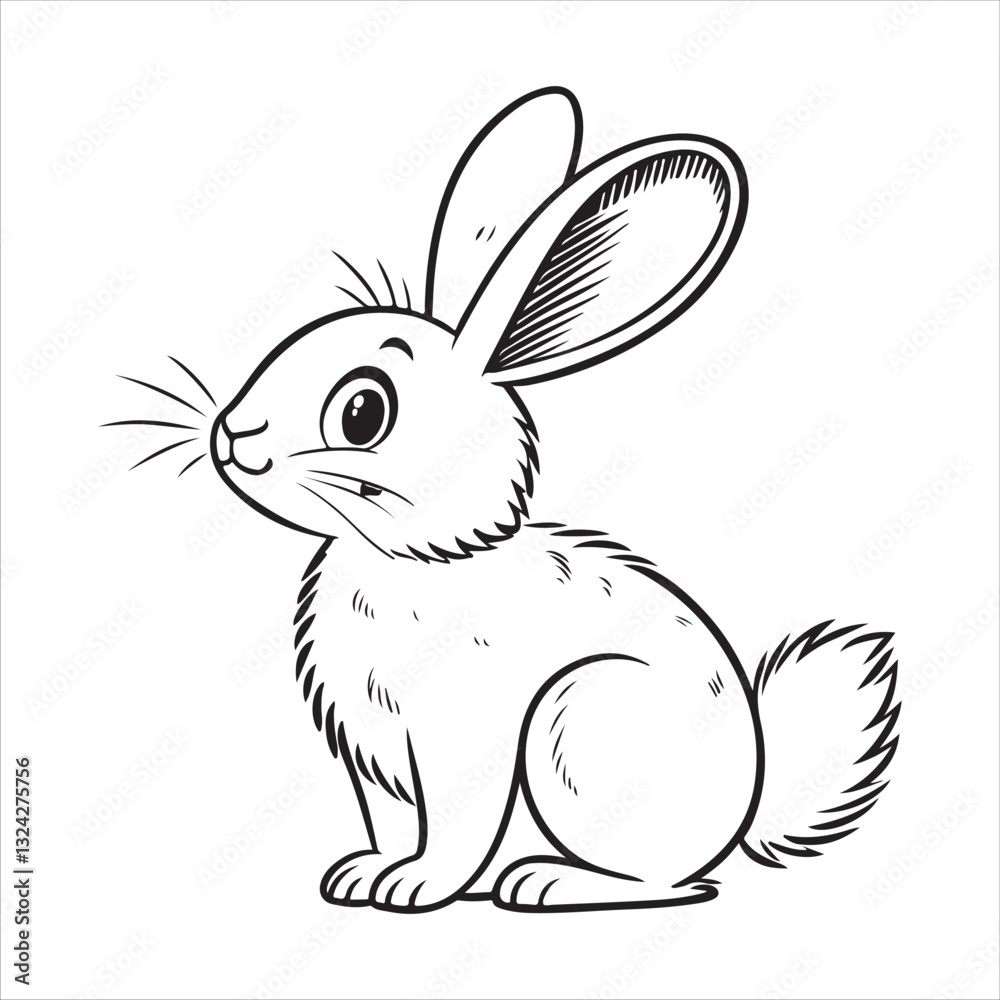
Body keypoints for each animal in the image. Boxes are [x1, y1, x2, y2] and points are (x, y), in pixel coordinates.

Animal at [116, 87, 900, 912]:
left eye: (363, 411)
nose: (234, 434)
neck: (415, 558)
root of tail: (743, 813)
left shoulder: (461, 738)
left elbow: (455, 826)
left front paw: (416, 887)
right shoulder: (374, 755)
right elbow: (393, 823)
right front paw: (362, 876)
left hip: (574, 723)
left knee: (662, 880)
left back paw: (545, 881)